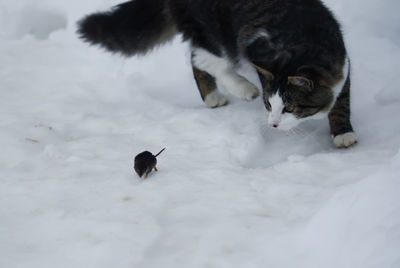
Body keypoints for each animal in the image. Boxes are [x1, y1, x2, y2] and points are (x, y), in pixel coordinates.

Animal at [77, 0, 356, 148]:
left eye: (289, 107)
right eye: (269, 104)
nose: (272, 124)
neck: (303, 40)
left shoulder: (342, 63)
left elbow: (341, 102)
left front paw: (343, 132)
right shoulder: (252, 43)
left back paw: (213, 95)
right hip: (207, 26)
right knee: (203, 57)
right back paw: (237, 89)